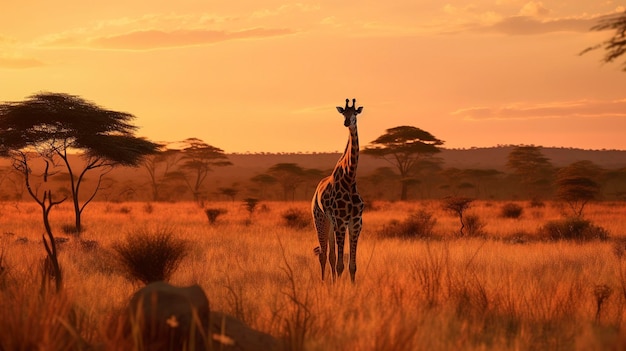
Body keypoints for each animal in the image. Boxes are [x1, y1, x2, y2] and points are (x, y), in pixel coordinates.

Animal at [310, 98, 364, 284]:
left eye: (355, 113)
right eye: (343, 113)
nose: (347, 122)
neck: (350, 178)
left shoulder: (355, 222)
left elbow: (352, 266)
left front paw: (351, 288)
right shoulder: (341, 221)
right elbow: (341, 264)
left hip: (331, 224)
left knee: (331, 256)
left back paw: (332, 283)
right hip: (320, 219)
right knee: (323, 254)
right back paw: (323, 283)